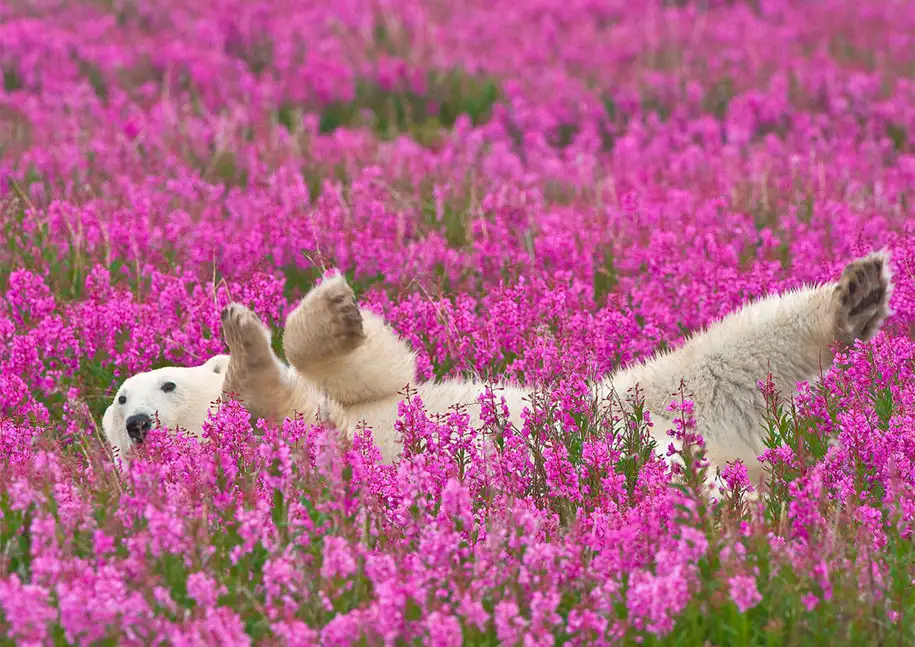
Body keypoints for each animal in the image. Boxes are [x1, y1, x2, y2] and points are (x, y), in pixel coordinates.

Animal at [102, 251, 896, 494]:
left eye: (163, 383)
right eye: (118, 399)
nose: (137, 423)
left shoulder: (371, 398)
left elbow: (378, 370)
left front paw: (319, 310)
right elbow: (281, 405)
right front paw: (246, 348)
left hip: (642, 395)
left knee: (733, 350)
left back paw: (856, 291)